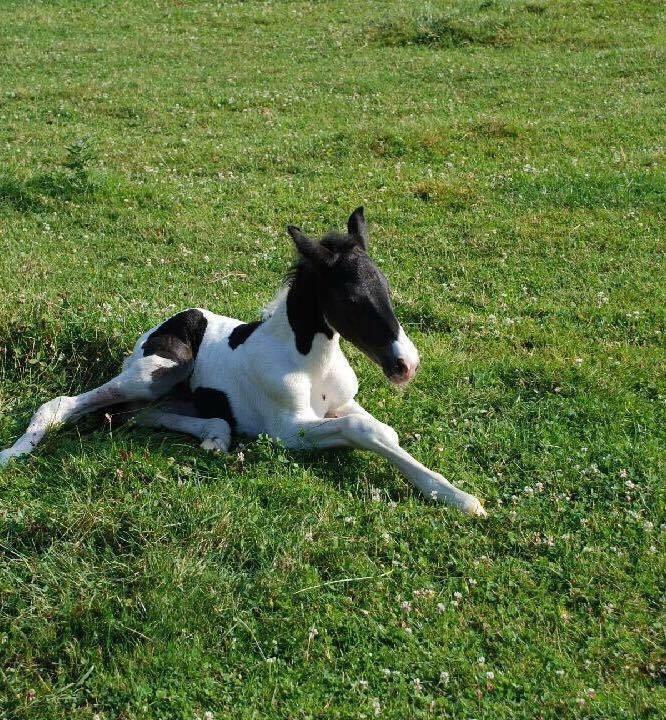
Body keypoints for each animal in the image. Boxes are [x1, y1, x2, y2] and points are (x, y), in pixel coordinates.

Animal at [1, 208, 488, 516]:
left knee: (142, 415)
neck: (310, 361)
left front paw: (452, 494)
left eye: (386, 286)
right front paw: (462, 499)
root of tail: (163, 324)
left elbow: (384, 431)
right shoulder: (289, 431)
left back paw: (216, 436)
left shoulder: (339, 405)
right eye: (350, 299)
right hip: (156, 372)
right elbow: (363, 430)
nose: (407, 364)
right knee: (66, 405)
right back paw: (15, 453)